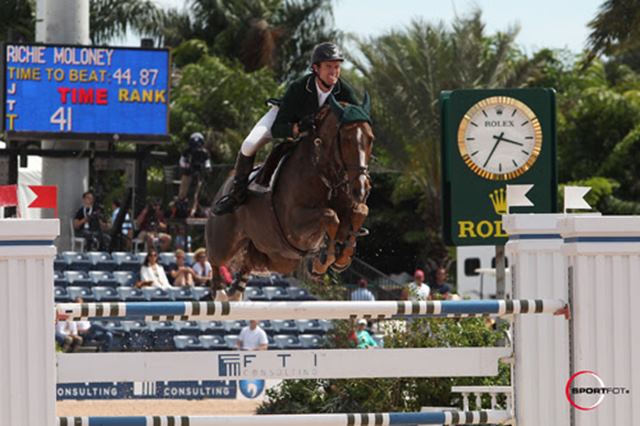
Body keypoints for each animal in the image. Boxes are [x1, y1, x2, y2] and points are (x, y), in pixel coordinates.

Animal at [208, 95, 372, 300]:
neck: (324, 175)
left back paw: (235, 291)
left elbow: (360, 211)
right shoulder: (294, 224)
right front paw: (323, 261)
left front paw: (341, 257)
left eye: (370, 140)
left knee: (248, 263)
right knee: (214, 260)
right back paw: (220, 292)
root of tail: (224, 187)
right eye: (347, 139)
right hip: (225, 243)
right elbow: (330, 215)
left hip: (278, 259)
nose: (362, 189)